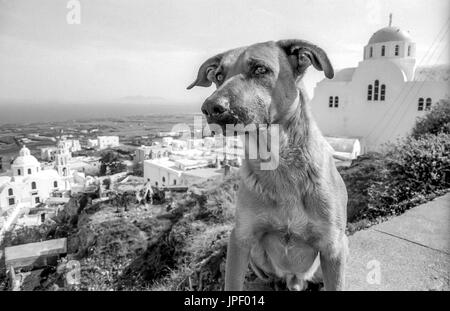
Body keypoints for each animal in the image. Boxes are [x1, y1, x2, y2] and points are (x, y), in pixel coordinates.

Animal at [186, 40, 348, 292]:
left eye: (260, 69)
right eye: (219, 76)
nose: (210, 107)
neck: (279, 163)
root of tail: (295, 279)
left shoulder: (333, 248)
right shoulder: (240, 240)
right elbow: (232, 282)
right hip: (256, 254)